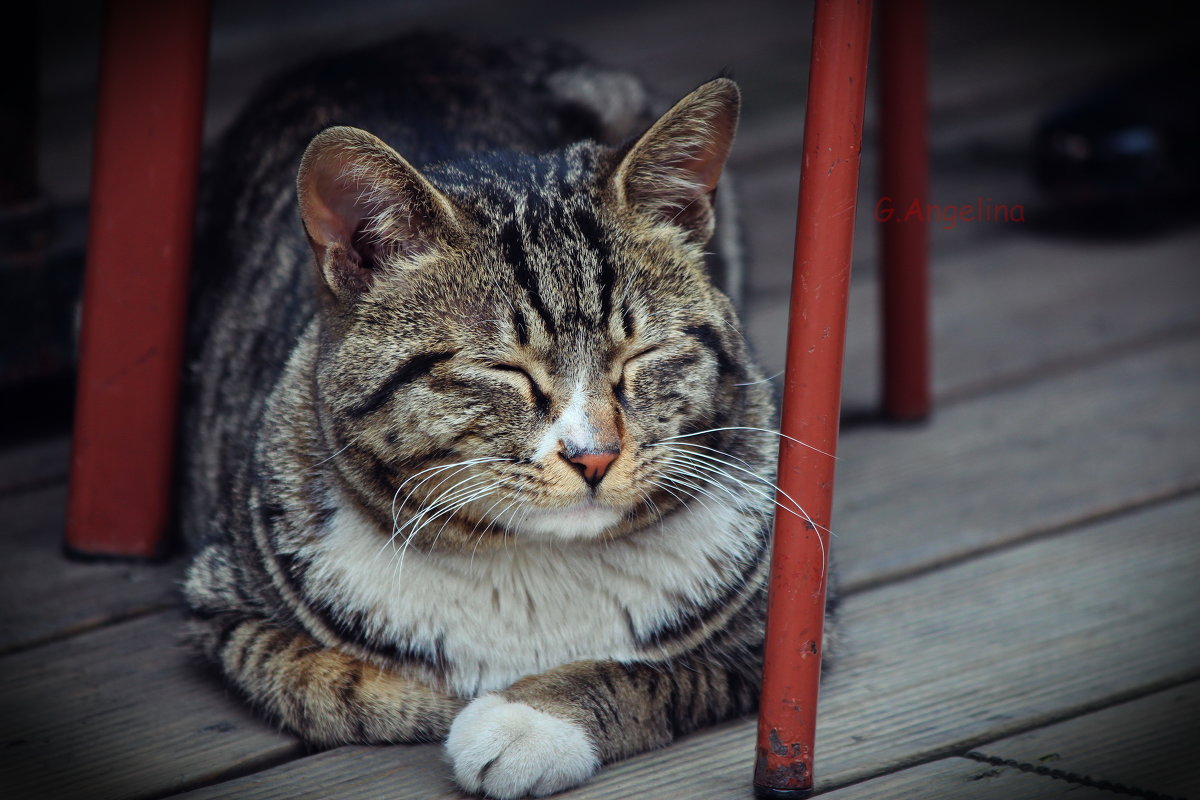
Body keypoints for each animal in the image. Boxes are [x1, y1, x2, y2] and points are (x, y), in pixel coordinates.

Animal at [177, 34, 777, 796]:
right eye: (505, 370)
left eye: (640, 354)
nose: (594, 455)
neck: (534, 565)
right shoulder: (219, 605)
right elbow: (329, 685)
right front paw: (451, 702)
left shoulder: (778, 627)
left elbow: (657, 673)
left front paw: (530, 719)